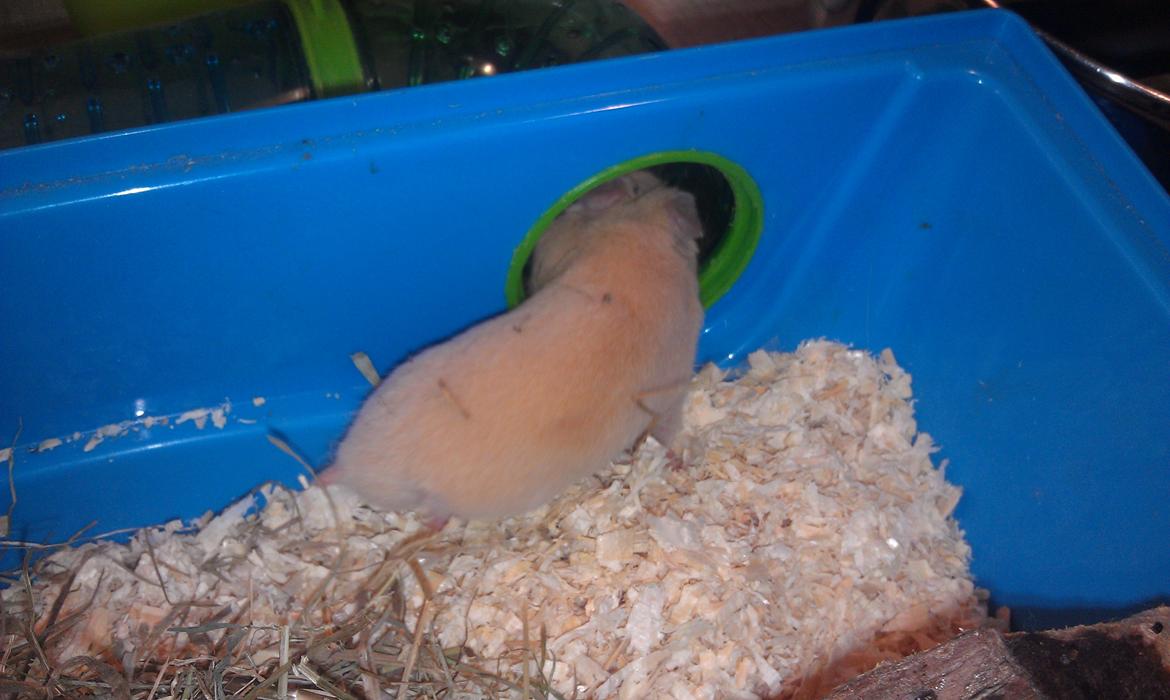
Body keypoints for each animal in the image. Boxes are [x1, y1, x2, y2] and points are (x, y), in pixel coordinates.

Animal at [319, 171, 704, 523]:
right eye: (638, 183)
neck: (642, 236)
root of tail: (349, 463)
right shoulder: (671, 393)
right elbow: (666, 431)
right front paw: (674, 461)